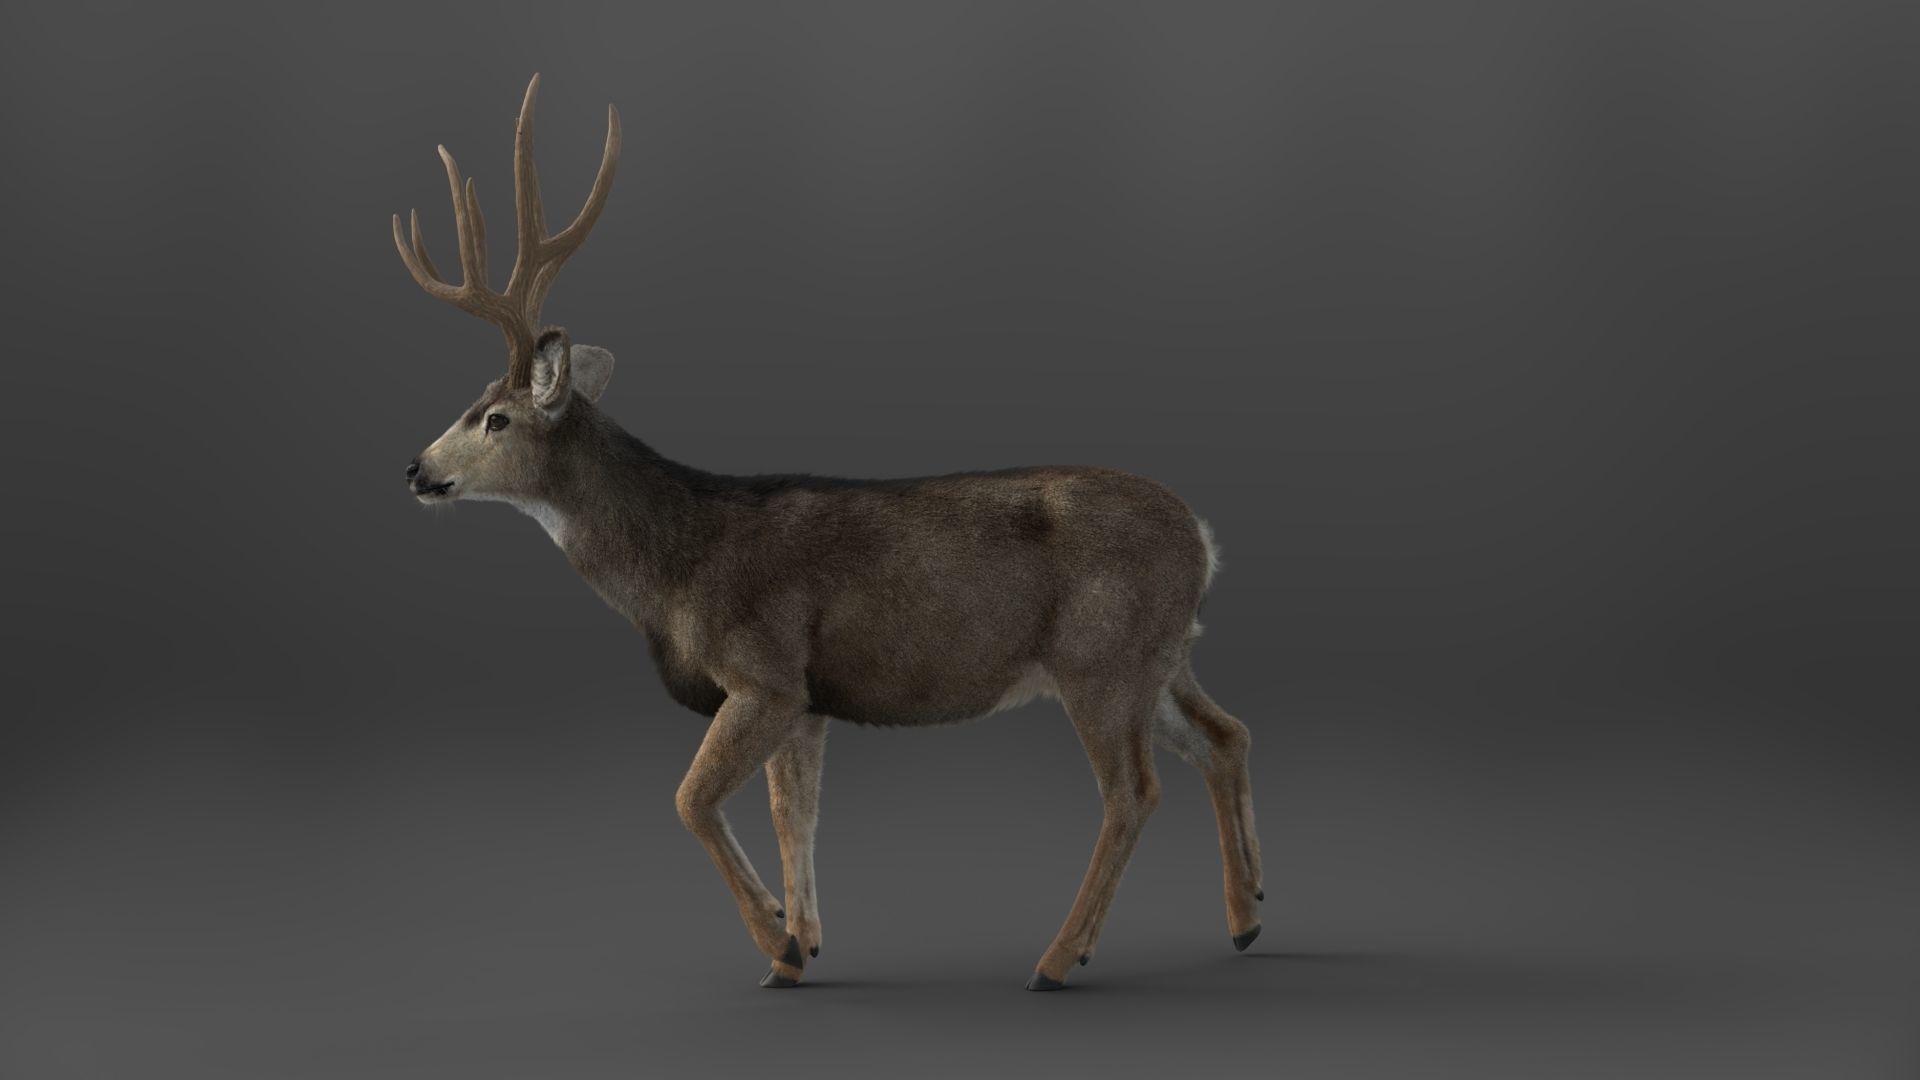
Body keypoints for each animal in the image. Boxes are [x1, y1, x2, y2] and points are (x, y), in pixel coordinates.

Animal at [394, 75, 1264, 991]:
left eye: (493, 418)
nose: (416, 468)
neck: (675, 568)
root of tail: (1204, 540)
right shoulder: (809, 698)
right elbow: (794, 812)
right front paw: (799, 949)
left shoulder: (764, 670)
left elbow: (692, 797)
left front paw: (775, 939)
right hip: (1160, 655)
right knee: (1225, 735)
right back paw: (1246, 918)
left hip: (1100, 657)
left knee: (1133, 791)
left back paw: (1059, 959)